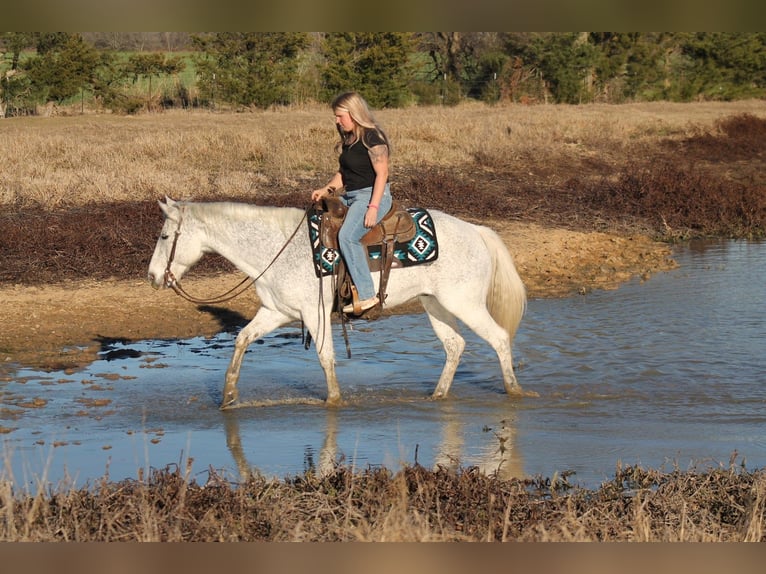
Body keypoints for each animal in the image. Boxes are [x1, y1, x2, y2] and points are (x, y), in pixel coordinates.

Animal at [147, 197, 534, 408]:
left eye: (165, 236)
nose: (152, 276)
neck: (277, 249)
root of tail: (477, 231)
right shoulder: (277, 312)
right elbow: (242, 339)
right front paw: (228, 395)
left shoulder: (313, 313)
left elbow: (325, 357)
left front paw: (333, 401)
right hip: (435, 305)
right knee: (455, 345)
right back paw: (438, 396)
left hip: (464, 303)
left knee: (499, 338)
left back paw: (514, 391)